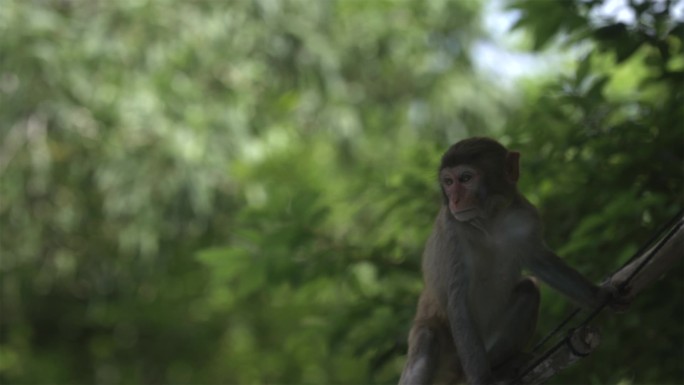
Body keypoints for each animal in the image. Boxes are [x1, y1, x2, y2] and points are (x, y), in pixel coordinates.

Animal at [398, 136, 624, 382]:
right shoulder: (453, 233)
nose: (455, 200)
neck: (489, 220)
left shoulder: (525, 218)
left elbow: (540, 260)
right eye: (448, 182)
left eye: (465, 178)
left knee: (529, 290)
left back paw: (501, 365)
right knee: (427, 337)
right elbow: (458, 299)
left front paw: (599, 296)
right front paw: (482, 380)